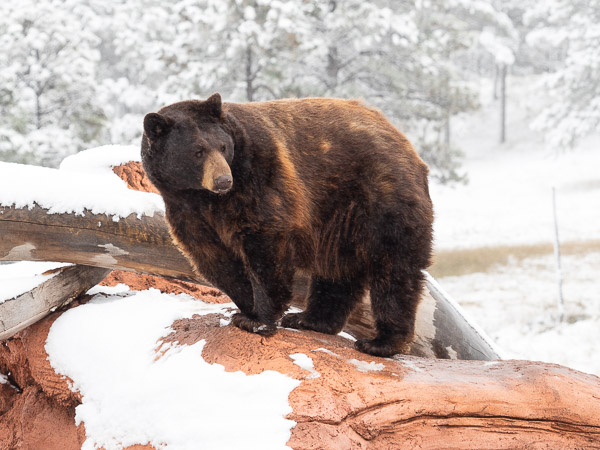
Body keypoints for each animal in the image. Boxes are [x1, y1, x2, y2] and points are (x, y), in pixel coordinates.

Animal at [141, 93, 432, 356]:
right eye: (197, 151)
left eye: (222, 146)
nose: (224, 180)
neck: (206, 198)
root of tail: (403, 141)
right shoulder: (186, 210)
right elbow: (215, 259)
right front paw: (246, 307)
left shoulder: (259, 180)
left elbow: (265, 244)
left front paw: (257, 319)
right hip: (339, 219)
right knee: (337, 270)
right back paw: (311, 319)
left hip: (380, 198)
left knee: (394, 269)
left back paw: (381, 342)